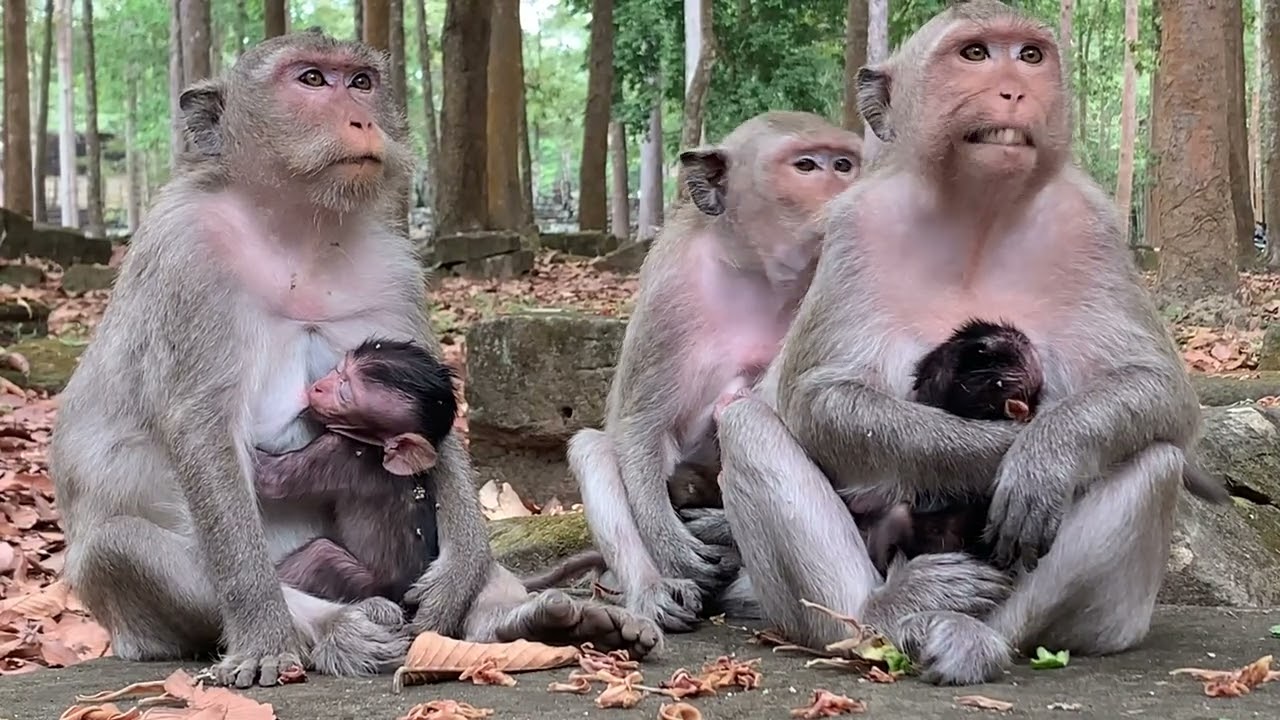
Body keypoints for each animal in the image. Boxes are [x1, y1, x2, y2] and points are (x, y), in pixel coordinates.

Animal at [48, 31, 658, 691]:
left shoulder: (390, 265)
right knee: (122, 545)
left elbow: (435, 415)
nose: (361, 118)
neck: (298, 231)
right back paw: (336, 630)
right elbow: (202, 427)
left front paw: (461, 573)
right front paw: (265, 637)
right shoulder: (186, 255)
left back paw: (524, 621)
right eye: (313, 79)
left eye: (361, 82)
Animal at [567, 111, 867, 634]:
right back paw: (652, 590)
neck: (756, 273)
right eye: (807, 166)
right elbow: (641, 427)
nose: (842, 187)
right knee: (595, 449)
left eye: (844, 164)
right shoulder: (670, 293)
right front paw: (670, 543)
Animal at [710, 0, 1205, 686]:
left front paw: (1044, 453)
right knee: (749, 426)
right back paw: (886, 615)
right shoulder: (856, 224)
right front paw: (995, 448)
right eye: (975, 54)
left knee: (1155, 459)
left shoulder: (1091, 223)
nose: (1014, 89)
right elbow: (820, 398)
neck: (978, 211)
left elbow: (1160, 390)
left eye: (1029, 55)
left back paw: (974, 635)